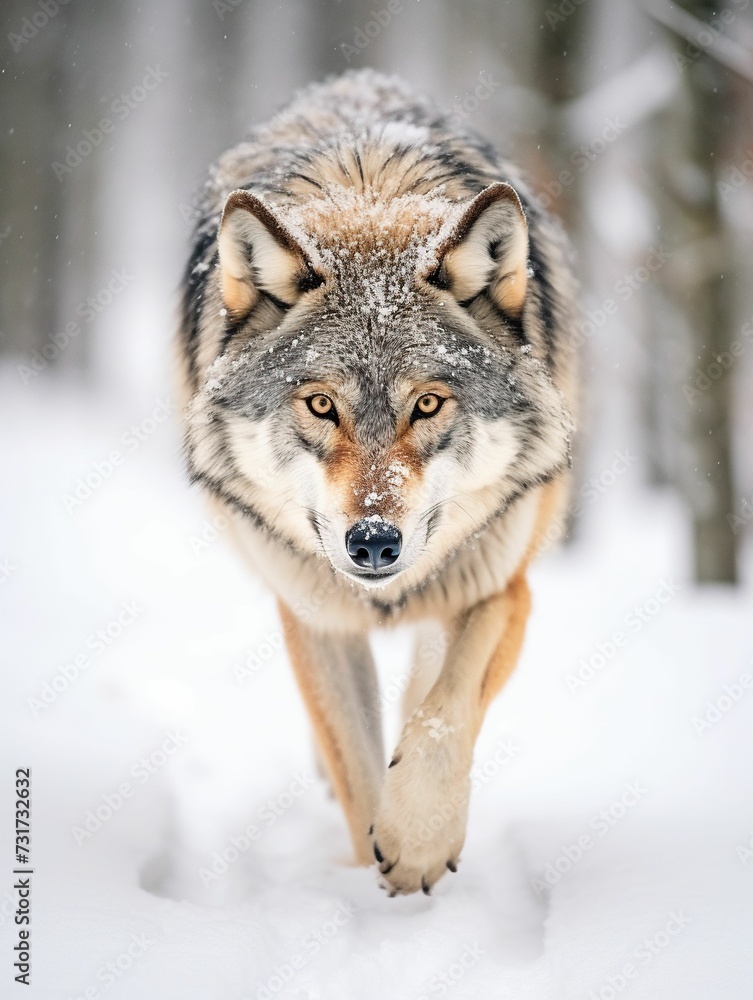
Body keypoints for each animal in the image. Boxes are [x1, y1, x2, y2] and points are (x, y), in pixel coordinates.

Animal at [177, 69, 577, 896]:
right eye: (319, 405)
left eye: (426, 404)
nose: (371, 543)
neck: (370, 198)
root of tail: (358, 80)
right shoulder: (315, 617)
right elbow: (358, 768)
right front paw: (375, 870)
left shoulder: (498, 584)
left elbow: (441, 712)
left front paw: (418, 838)